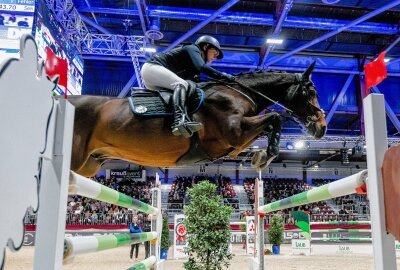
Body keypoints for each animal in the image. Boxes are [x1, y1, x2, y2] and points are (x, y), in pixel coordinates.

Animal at [67, 63, 326, 177]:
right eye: (311, 92)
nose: (322, 128)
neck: (239, 92)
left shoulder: (235, 140)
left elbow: (266, 126)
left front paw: (259, 156)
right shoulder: (234, 132)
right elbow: (274, 117)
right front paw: (264, 157)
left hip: (89, 165)